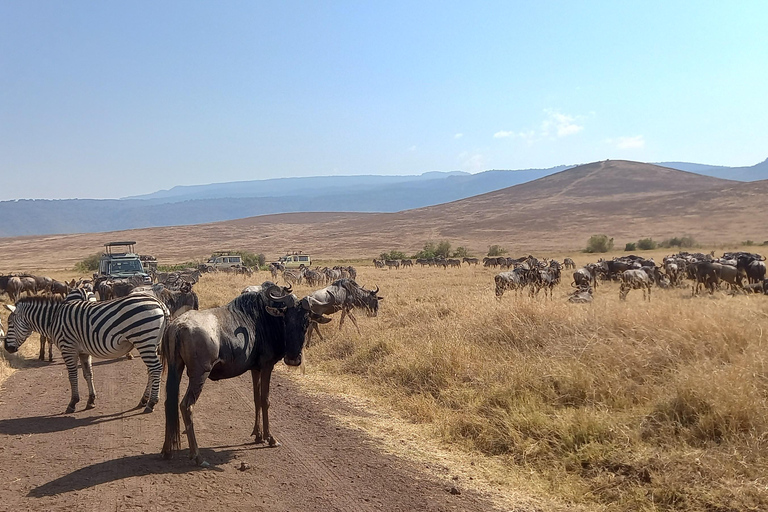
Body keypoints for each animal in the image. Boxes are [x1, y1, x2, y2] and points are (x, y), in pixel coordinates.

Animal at [1, 294, 170, 414]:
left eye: (10, 323)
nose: (7, 348)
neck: (53, 319)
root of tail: (159, 303)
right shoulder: (83, 351)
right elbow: (88, 374)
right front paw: (91, 400)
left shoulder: (68, 348)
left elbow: (73, 377)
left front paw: (73, 403)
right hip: (151, 343)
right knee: (151, 370)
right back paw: (143, 400)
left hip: (144, 340)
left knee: (155, 369)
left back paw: (151, 403)